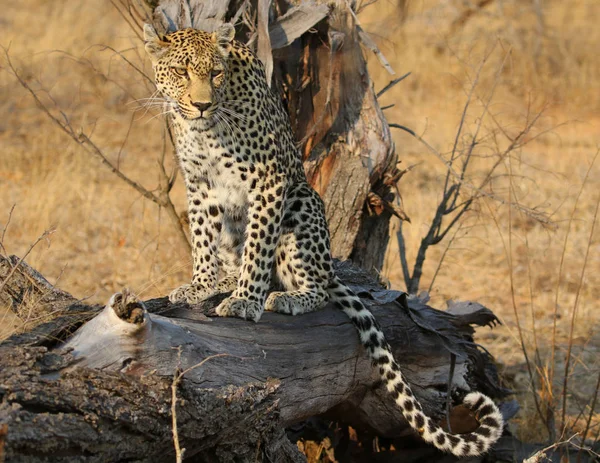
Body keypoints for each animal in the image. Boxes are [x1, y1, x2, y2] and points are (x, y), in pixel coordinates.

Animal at [143, 22, 504, 456]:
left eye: (215, 73)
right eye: (181, 72)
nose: (200, 105)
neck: (206, 129)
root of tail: (329, 265)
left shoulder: (270, 179)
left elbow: (259, 247)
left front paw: (246, 301)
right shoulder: (199, 185)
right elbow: (201, 238)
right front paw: (200, 285)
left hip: (303, 203)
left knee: (313, 286)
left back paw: (286, 296)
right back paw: (227, 282)